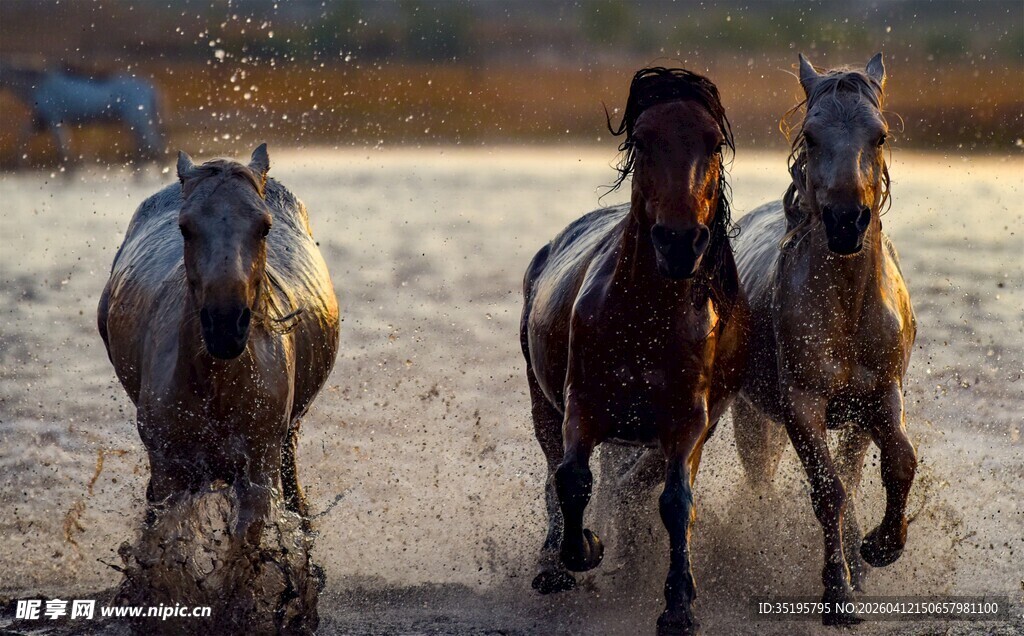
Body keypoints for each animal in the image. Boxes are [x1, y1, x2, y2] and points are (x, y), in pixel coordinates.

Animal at [0, 62, 164, 170]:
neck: (38, 84)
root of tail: (150, 88)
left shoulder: (53, 119)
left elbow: (62, 146)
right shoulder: (42, 120)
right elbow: (25, 136)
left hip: (138, 120)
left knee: (152, 145)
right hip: (138, 122)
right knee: (146, 145)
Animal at [98, 144, 340, 542]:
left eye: (264, 226)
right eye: (184, 227)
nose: (225, 324)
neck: (217, 385)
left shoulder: (258, 475)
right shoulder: (170, 474)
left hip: (287, 444)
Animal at [521, 68, 748, 636]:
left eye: (714, 143)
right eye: (643, 140)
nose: (679, 242)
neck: (646, 318)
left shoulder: (688, 421)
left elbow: (675, 502)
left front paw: (679, 606)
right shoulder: (581, 405)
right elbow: (572, 480)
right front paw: (584, 549)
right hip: (541, 402)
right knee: (554, 473)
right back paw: (551, 565)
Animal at [730, 54, 916, 625]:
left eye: (879, 135)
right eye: (810, 136)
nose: (846, 220)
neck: (847, 309)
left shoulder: (882, 394)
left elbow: (899, 463)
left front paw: (880, 547)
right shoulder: (802, 404)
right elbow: (827, 491)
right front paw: (838, 592)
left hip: (853, 417)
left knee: (855, 472)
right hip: (753, 415)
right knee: (766, 480)